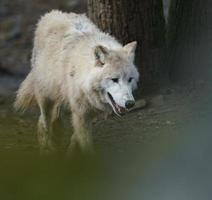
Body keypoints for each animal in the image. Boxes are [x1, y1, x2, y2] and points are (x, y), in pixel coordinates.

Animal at [14, 10, 139, 153]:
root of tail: (51, 13)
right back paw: (46, 148)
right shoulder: (81, 113)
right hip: (45, 96)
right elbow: (85, 143)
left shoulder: (88, 111)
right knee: (44, 122)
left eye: (130, 79)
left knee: (53, 117)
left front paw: (71, 151)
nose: (130, 103)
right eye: (114, 79)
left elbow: (76, 137)